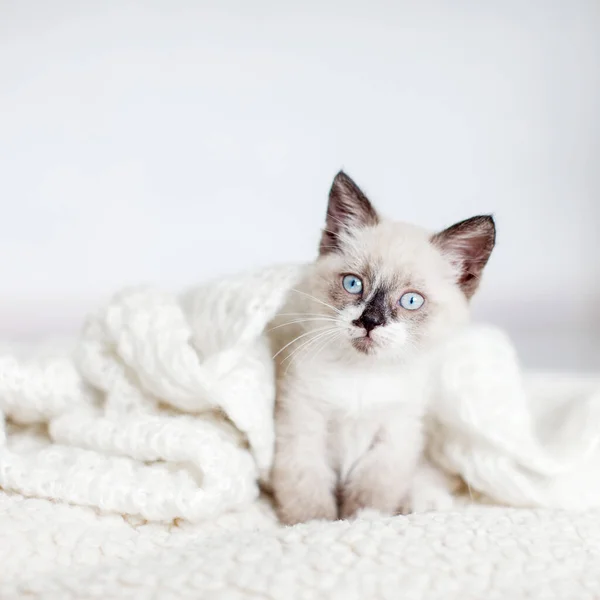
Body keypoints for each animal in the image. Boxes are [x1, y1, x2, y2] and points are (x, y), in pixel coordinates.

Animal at [270, 171, 494, 524]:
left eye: (411, 301)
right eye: (353, 284)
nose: (370, 321)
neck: (362, 375)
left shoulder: (394, 437)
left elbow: (371, 493)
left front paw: (363, 520)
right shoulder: (302, 424)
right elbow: (308, 493)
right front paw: (315, 524)